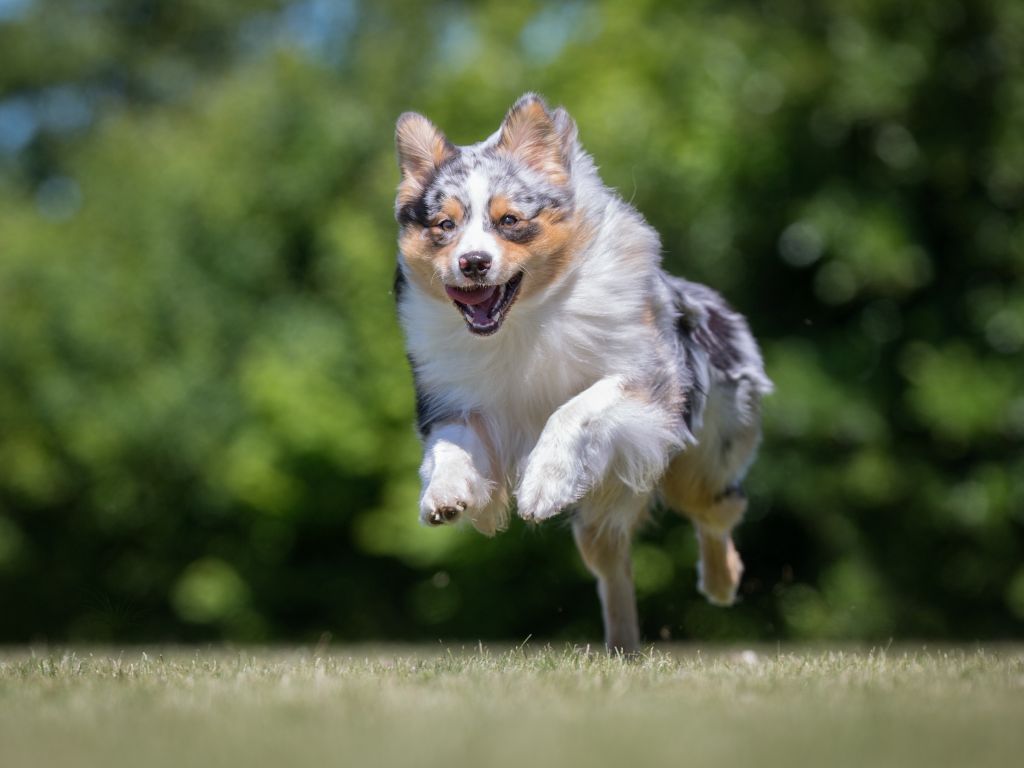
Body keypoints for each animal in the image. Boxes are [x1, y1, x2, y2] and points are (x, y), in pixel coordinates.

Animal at [391, 93, 770, 651]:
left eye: (509, 220)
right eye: (444, 226)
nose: (473, 262)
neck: (522, 321)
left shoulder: (648, 379)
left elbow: (575, 408)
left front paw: (544, 485)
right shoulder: (457, 400)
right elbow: (451, 446)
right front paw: (446, 494)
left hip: (700, 464)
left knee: (719, 512)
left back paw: (722, 582)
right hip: (605, 511)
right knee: (613, 565)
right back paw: (622, 646)